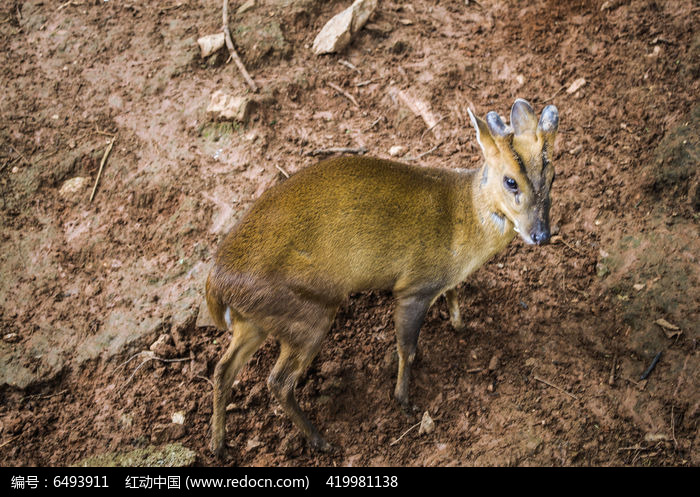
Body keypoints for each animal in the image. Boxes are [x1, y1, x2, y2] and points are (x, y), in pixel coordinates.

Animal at [205, 99, 560, 456]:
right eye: (511, 181)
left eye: (553, 176)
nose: (541, 235)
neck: (466, 217)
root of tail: (216, 283)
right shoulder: (414, 287)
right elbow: (408, 348)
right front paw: (404, 400)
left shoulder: (442, 282)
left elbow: (453, 296)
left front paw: (461, 325)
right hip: (307, 316)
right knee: (277, 382)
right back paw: (320, 440)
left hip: (257, 319)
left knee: (223, 369)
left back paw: (219, 444)